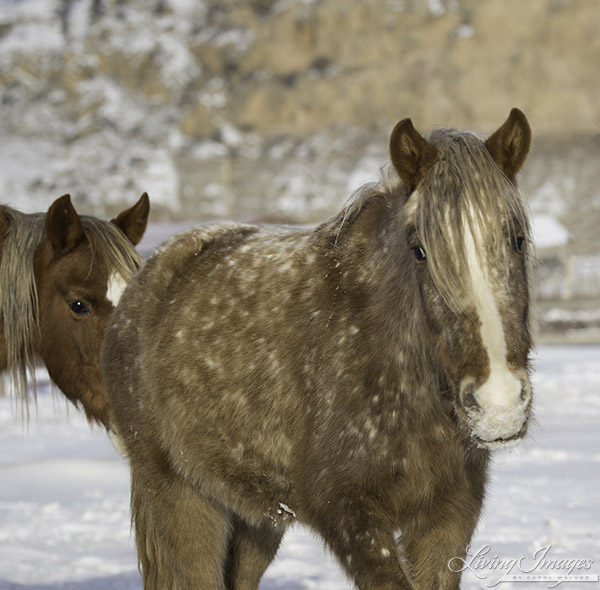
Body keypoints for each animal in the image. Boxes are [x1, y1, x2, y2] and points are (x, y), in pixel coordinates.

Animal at [103, 108, 536, 588]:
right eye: (420, 250)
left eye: (517, 239)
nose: (499, 405)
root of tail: (142, 282)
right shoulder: (350, 515)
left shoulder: (449, 517)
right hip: (180, 495)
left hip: (256, 515)